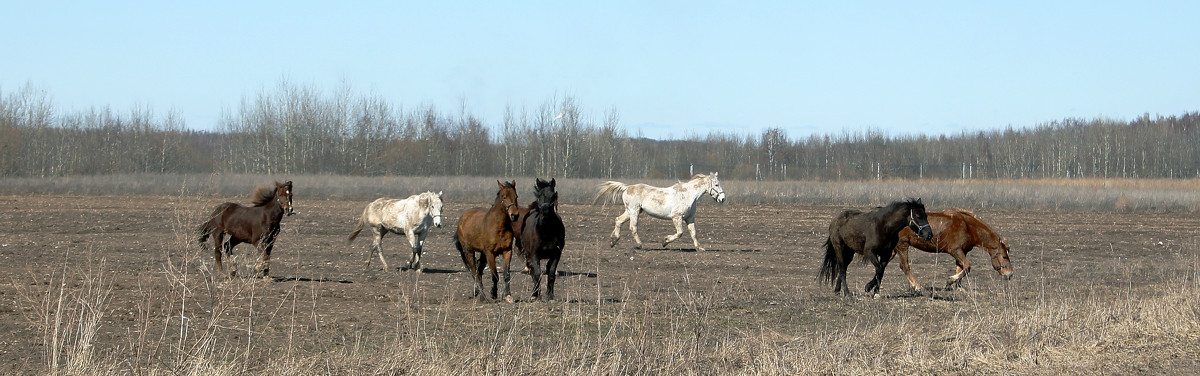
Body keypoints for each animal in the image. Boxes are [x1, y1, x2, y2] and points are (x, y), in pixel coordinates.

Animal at [595, 171, 724, 248]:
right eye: (716, 184)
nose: (723, 199)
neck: (688, 195)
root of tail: (627, 187)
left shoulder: (690, 218)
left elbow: (693, 233)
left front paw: (699, 248)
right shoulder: (677, 217)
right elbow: (680, 233)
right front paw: (665, 241)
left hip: (630, 211)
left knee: (618, 220)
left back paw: (613, 241)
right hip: (634, 211)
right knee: (633, 227)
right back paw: (640, 244)